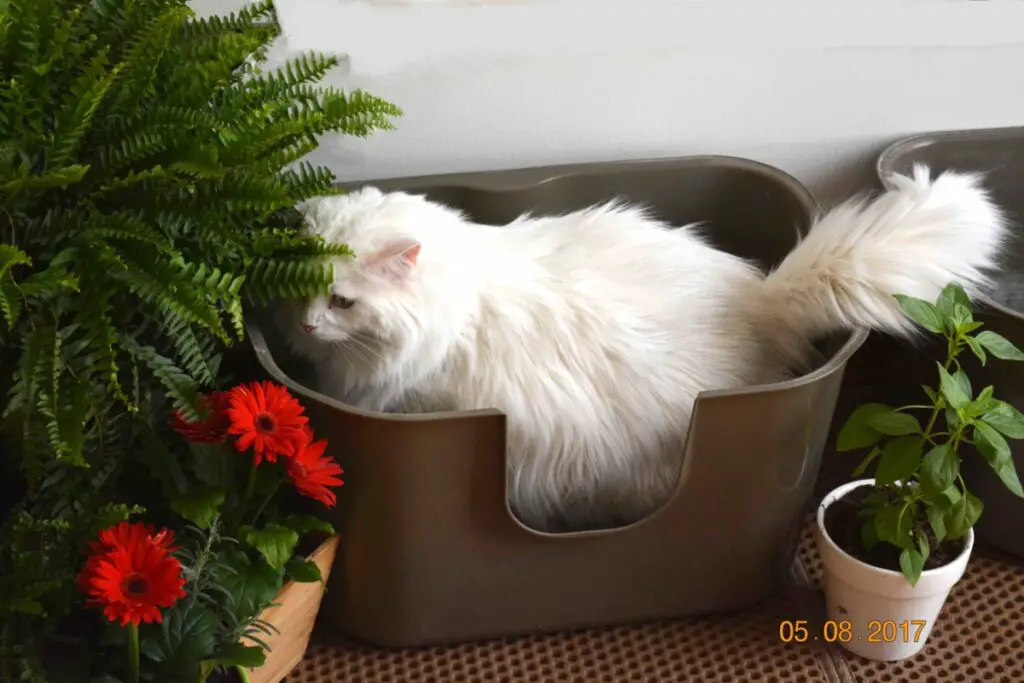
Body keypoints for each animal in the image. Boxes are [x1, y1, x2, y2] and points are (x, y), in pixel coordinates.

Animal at [278, 165, 1007, 532]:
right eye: (298, 291)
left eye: (341, 302)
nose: (305, 327)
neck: (456, 306)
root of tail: (761, 299)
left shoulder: (426, 403)